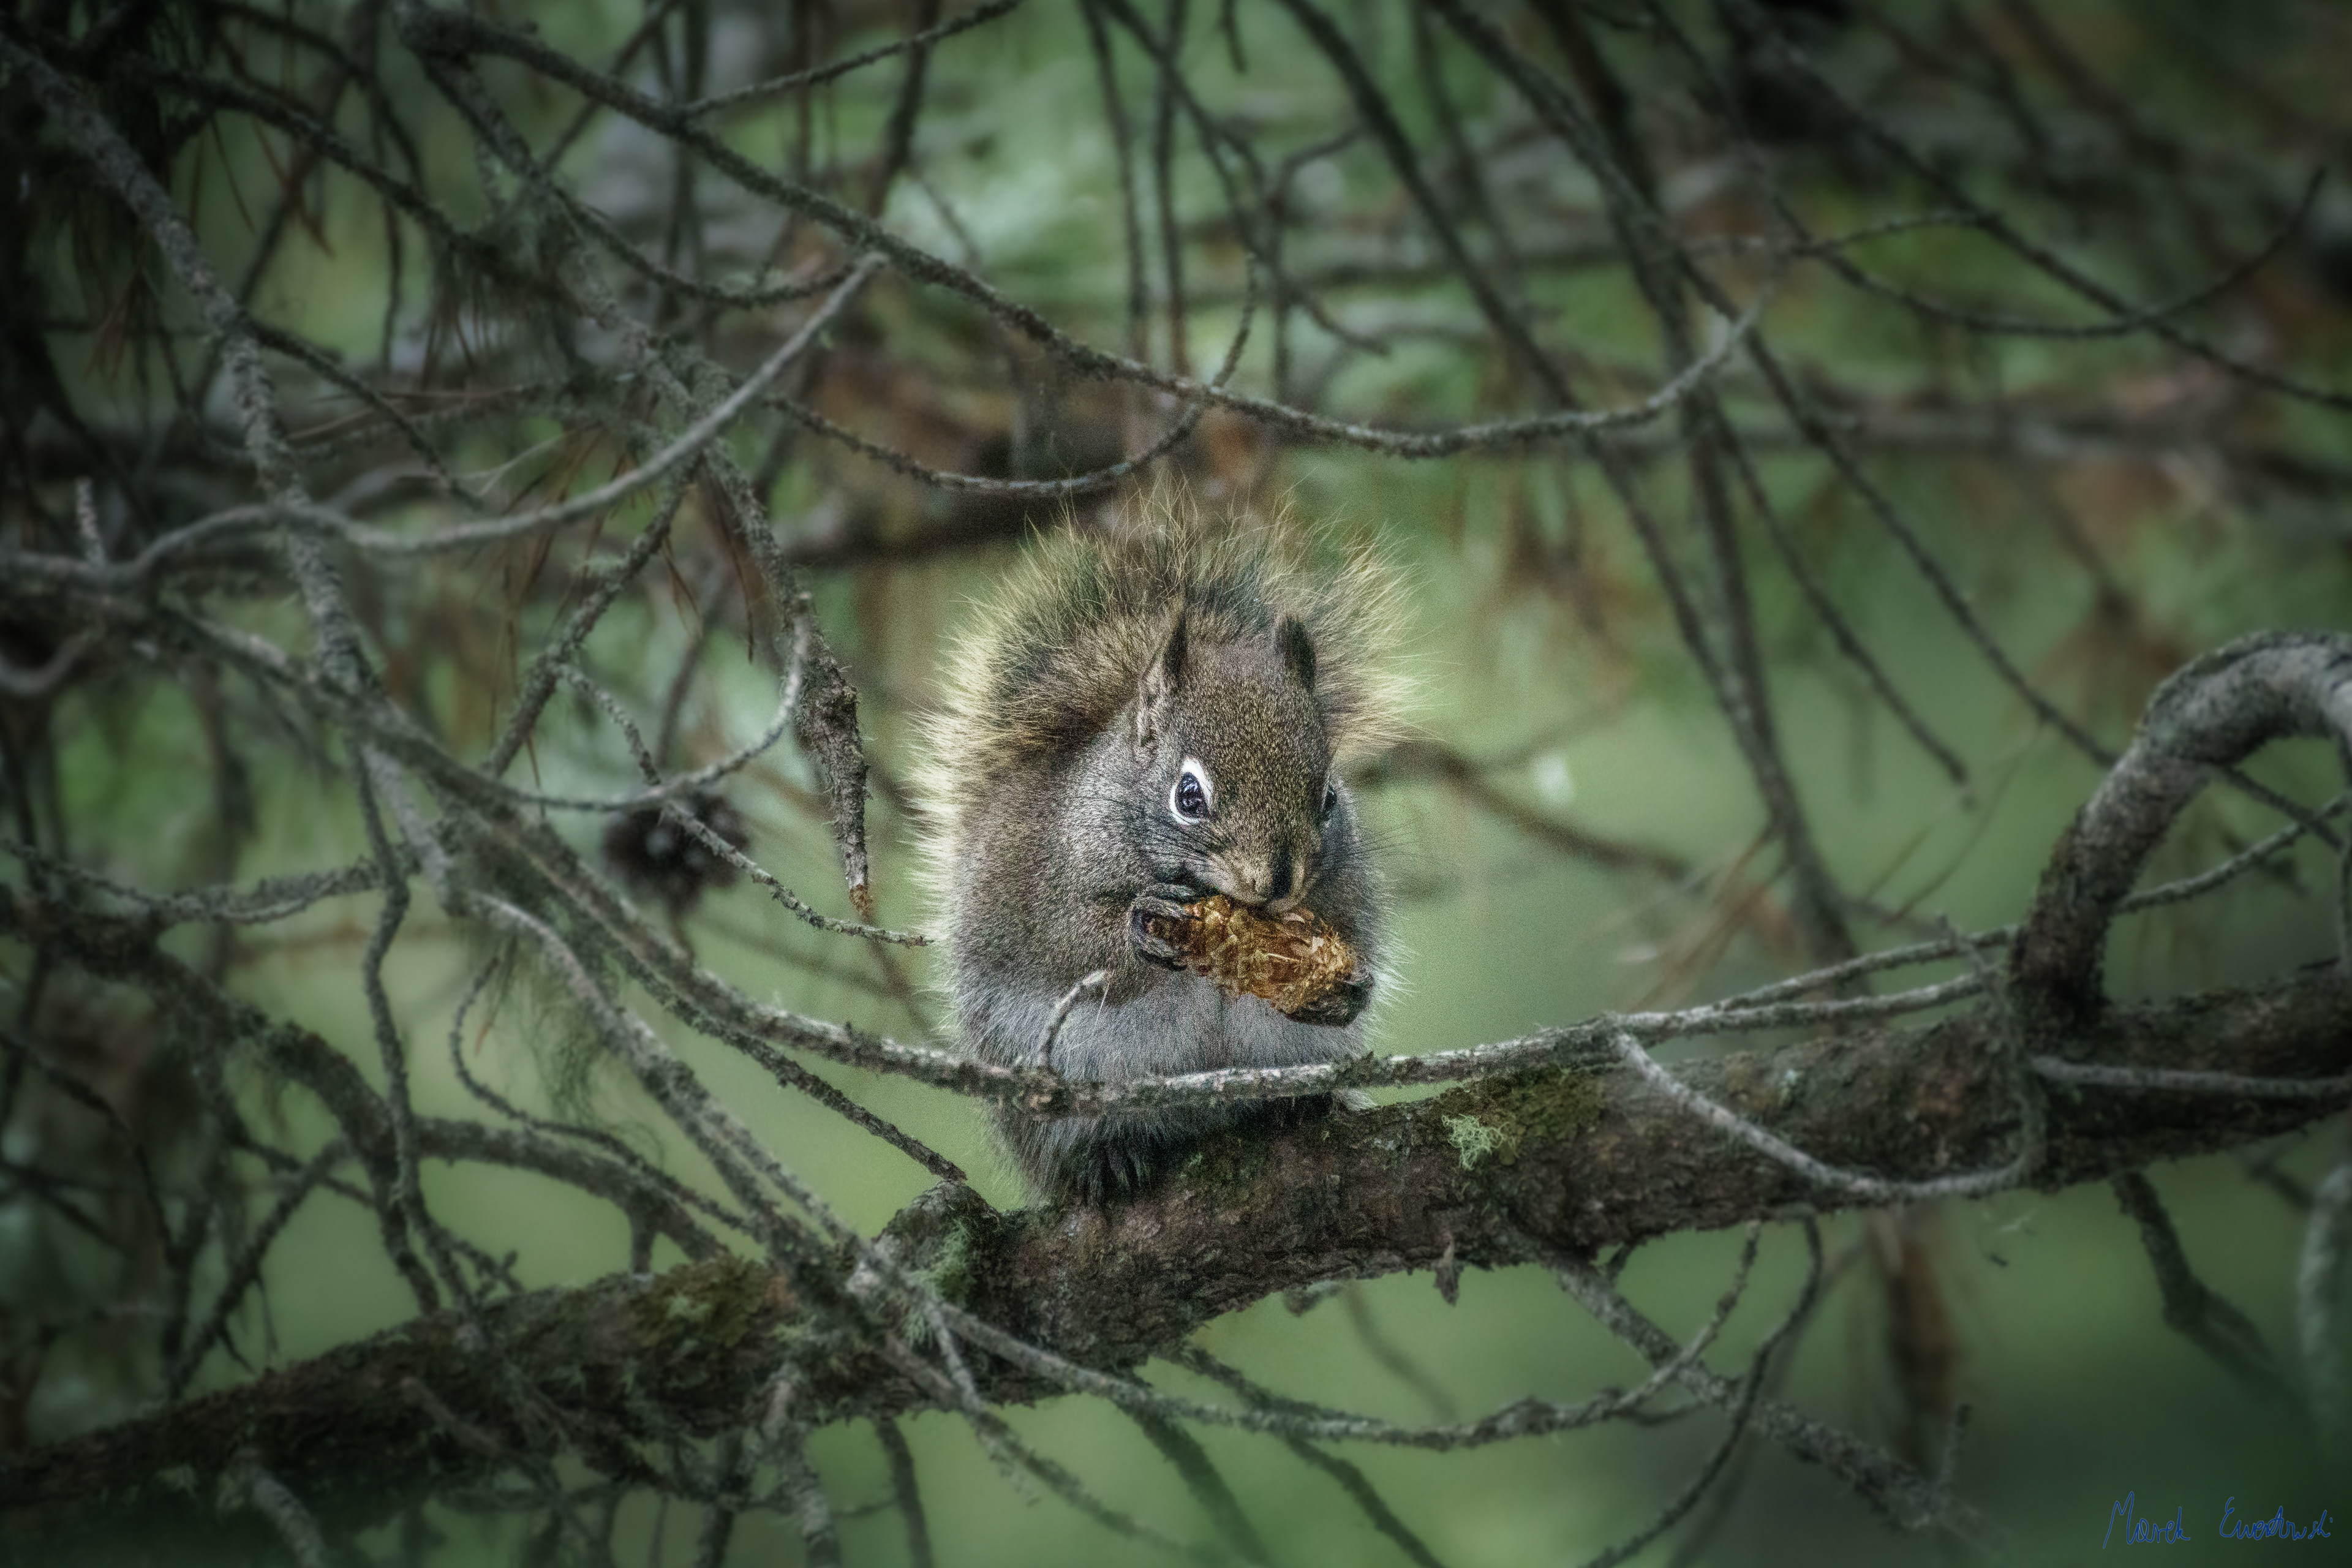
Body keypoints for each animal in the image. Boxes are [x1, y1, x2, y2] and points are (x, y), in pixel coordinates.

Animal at [912, 494, 1409, 1202]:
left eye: (1328, 798)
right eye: (1188, 796)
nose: (1277, 881)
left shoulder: (1344, 891)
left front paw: (1349, 989)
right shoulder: (1051, 881)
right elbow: (1073, 944)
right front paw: (1139, 924)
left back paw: (1299, 1104)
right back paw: (1105, 1158)